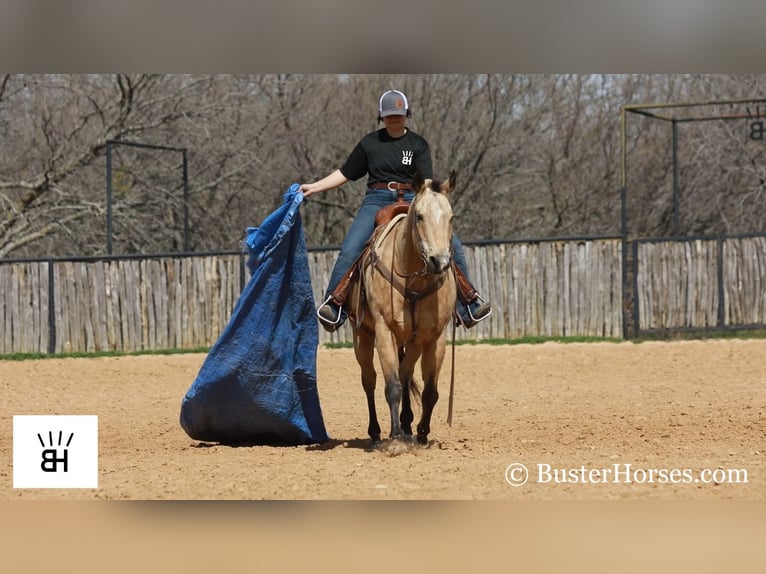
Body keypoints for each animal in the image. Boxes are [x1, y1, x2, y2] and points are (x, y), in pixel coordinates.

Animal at [346, 169, 456, 448]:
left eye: (451, 218)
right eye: (419, 217)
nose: (440, 262)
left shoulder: (434, 336)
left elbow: (429, 391)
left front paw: (422, 433)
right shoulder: (384, 331)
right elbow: (392, 386)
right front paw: (395, 437)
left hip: (410, 340)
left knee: (406, 374)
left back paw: (407, 424)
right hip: (362, 335)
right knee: (370, 380)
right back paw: (376, 432)